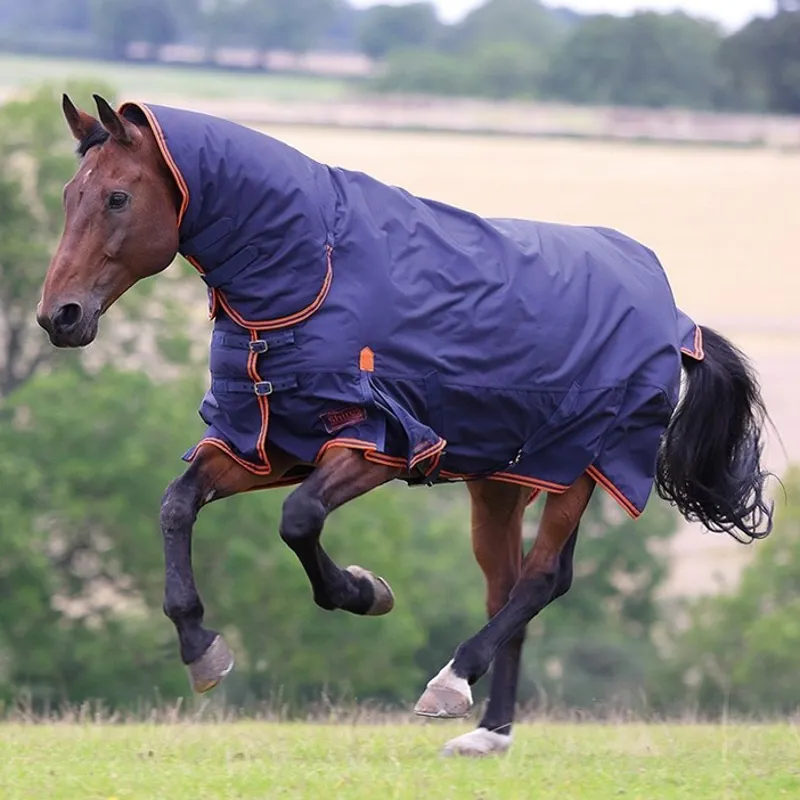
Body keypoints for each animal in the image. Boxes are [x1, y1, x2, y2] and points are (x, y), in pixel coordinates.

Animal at [37, 94, 773, 757]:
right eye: (72, 194)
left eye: (117, 199)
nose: (59, 316)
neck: (315, 270)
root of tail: (678, 321)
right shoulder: (267, 446)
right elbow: (176, 505)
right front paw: (201, 649)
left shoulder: (373, 445)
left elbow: (298, 521)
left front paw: (364, 592)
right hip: (501, 481)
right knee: (509, 587)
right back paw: (489, 733)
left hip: (579, 467)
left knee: (540, 580)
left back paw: (452, 681)